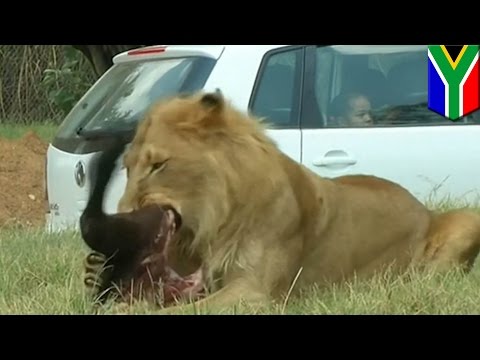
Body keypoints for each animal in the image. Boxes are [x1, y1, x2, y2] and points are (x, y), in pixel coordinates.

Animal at [84, 90, 480, 316]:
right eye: (127, 167)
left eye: (158, 165)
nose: (121, 218)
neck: (215, 222)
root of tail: (420, 205)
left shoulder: (255, 292)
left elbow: (182, 312)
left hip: (467, 220)